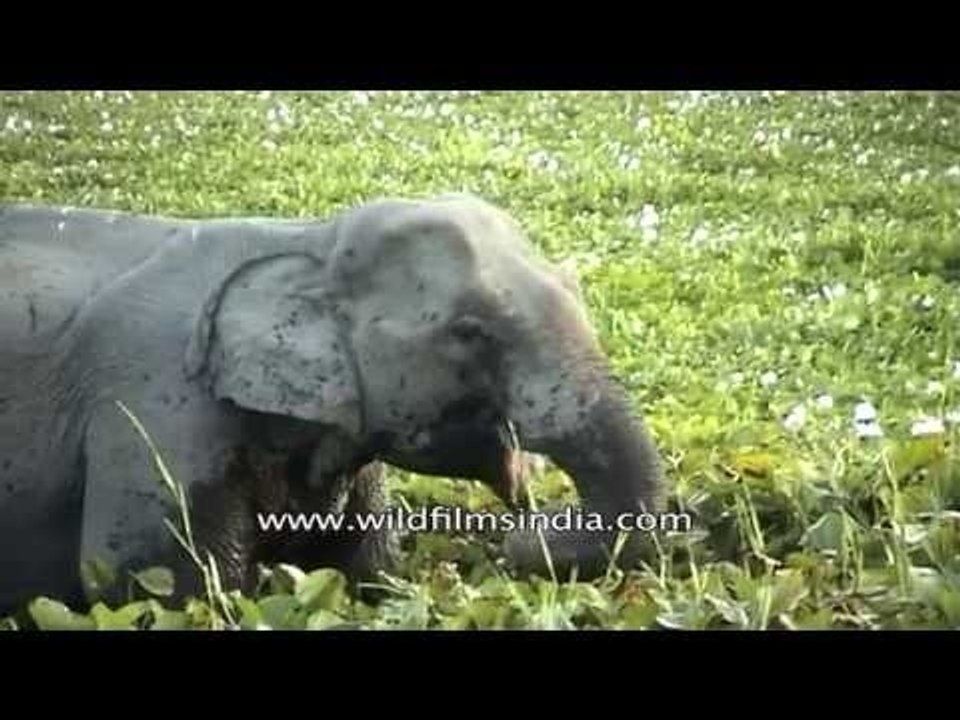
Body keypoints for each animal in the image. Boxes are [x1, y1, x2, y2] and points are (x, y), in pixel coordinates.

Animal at [0, 192, 664, 614]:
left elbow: (360, 569)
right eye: (470, 332)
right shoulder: (154, 411)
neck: (306, 238)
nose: (525, 534)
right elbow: (156, 589)